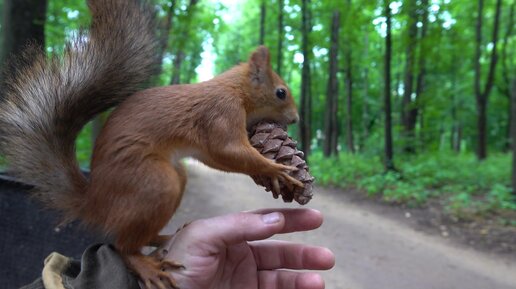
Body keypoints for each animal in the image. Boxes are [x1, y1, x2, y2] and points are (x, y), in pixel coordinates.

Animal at [0, 1, 302, 286]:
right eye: (281, 92)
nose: (296, 119)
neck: (235, 90)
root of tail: (95, 201)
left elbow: (221, 158)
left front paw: (269, 173)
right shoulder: (219, 115)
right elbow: (228, 150)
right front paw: (276, 169)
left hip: (172, 178)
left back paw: (165, 237)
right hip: (154, 183)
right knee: (123, 246)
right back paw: (145, 265)